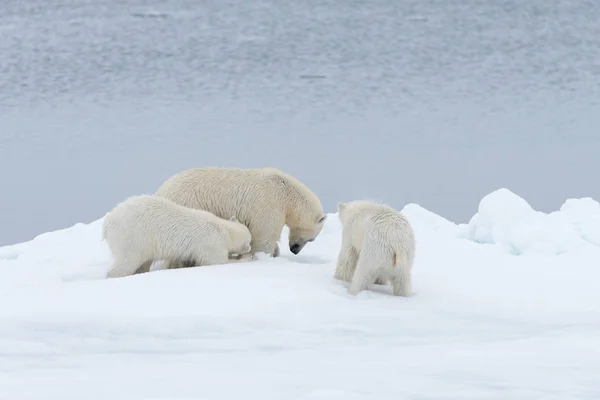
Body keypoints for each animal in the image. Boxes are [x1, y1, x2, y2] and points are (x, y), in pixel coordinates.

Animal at [152, 168, 326, 256]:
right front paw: (266, 255)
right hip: (188, 201)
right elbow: (264, 236)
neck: (287, 193)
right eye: (312, 240)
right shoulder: (269, 205)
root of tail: (161, 191)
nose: (294, 250)